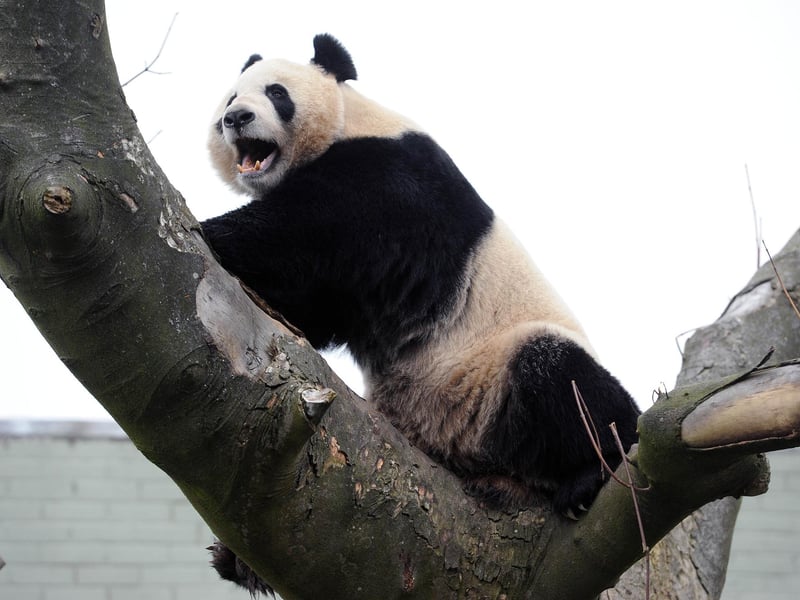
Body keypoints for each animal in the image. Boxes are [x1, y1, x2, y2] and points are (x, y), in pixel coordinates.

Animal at [203, 34, 640, 593]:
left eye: (276, 93)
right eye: (231, 96)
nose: (236, 118)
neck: (348, 124)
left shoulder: (392, 184)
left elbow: (303, 239)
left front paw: (208, 230)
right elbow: (314, 307)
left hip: (494, 365)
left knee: (564, 379)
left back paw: (591, 473)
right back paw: (237, 562)